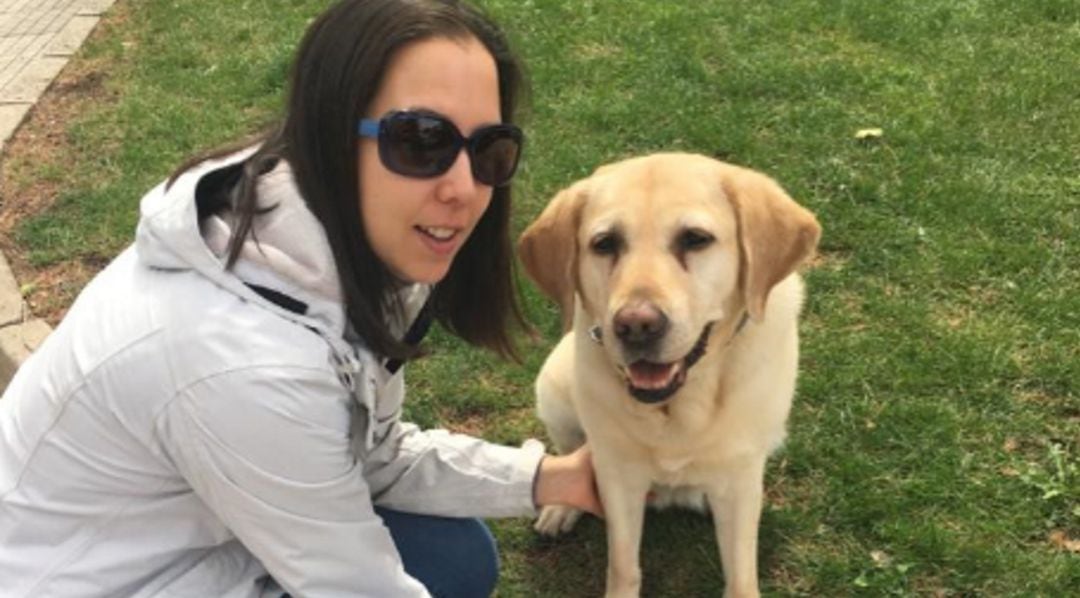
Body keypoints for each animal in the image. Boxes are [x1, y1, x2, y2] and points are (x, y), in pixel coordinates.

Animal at [516, 153, 816, 595]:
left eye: (695, 238)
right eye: (604, 244)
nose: (636, 326)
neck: (679, 407)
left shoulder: (740, 479)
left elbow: (741, 576)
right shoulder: (618, 475)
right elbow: (623, 565)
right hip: (553, 389)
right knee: (568, 453)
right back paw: (560, 508)